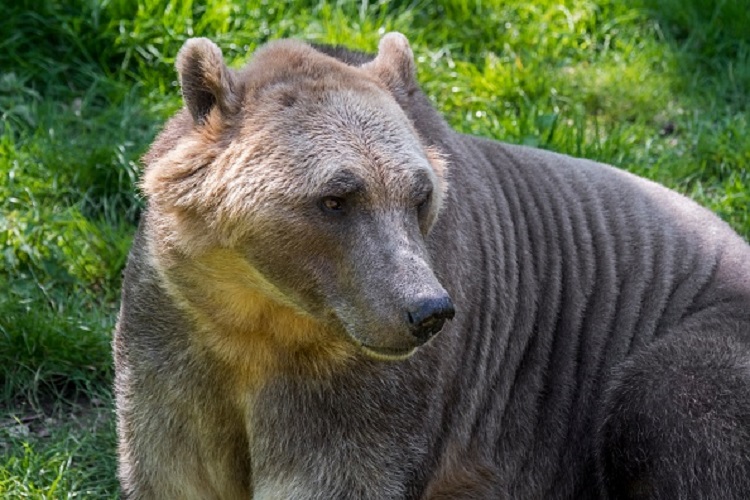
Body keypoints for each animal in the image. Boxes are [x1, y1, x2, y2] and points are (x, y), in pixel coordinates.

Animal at [114, 32, 750, 499]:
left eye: (420, 196)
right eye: (336, 197)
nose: (427, 311)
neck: (259, 316)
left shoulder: (367, 392)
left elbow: (342, 473)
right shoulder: (174, 341)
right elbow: (172, 469)